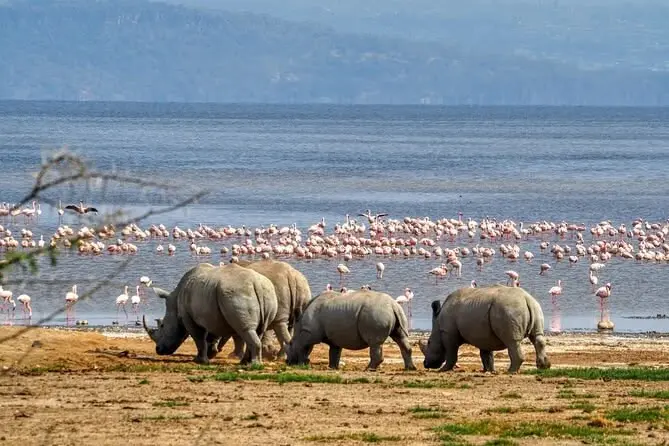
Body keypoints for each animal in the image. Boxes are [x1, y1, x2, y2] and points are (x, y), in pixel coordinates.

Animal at [142, 262, 278, 365]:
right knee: (257, 330)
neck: (175, 302)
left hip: (237, 293)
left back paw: (253, 365)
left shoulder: (188, 317)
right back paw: (245, 363)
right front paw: (211, 354)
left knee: (245, 329)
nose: (158, 350)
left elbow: (199, 338)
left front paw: (200, 360)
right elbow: (212, 336)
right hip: (267, 292)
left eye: (162, 326)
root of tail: (257, 284)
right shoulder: (212, 314)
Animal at [285, 289, 416, 371]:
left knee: (375, 343)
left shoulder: (309, 333)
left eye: (290, 344)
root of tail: (393, 305)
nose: (288, 362)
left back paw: (369, 369)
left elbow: (303, 347)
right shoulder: (334, 337)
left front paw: (301, 364)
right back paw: (410, 368)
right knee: (400, 338)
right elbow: (334, 351)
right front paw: (332, 367)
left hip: (376, 313)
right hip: (394, 312)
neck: (299, 327)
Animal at [420, 284, 551, 373]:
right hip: (534, 307)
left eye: (429, 342)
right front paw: (489, 370)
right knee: (537, 337)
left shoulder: (448, 333)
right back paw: (544, 367)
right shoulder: (483, 335)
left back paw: (511, 371)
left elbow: (451, 352)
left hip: (509, 310)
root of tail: (526, 299)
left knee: (512, 341)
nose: (425, 364)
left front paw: (443, 370)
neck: (438, 324)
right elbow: (486, 354)